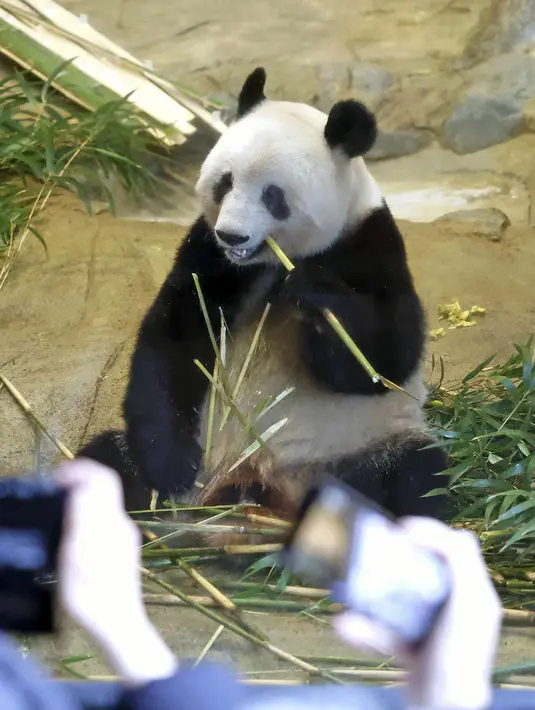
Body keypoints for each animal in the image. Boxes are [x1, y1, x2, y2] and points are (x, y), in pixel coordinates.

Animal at [78, 67, 449, 539]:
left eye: (273, 195)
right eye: (225, 182)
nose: (232, 235)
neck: (268, 261)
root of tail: (253, 488)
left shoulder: (369, 242)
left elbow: (387, 358)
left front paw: (316, 295)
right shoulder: (207, 254)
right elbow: (175, 338)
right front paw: (171, 466)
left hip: (353, 448)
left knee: (414, 476)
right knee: (107, 461)